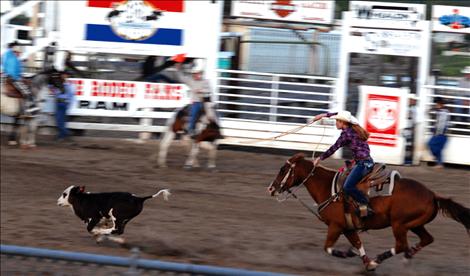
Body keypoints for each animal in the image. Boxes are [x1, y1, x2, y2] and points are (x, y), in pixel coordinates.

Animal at [268, 153, 470, 272]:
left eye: (283, 170)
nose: (271, 189)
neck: (328, 188)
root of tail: (432, 195)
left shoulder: (335, 226)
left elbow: (328, 248)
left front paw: (350, 255)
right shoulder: (348, 228)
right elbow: (358, 244)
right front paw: (365, 262)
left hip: (399, 224)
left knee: (401, 245)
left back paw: (382, 259)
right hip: (415, 224)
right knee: (426, 240)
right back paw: (405, 258)